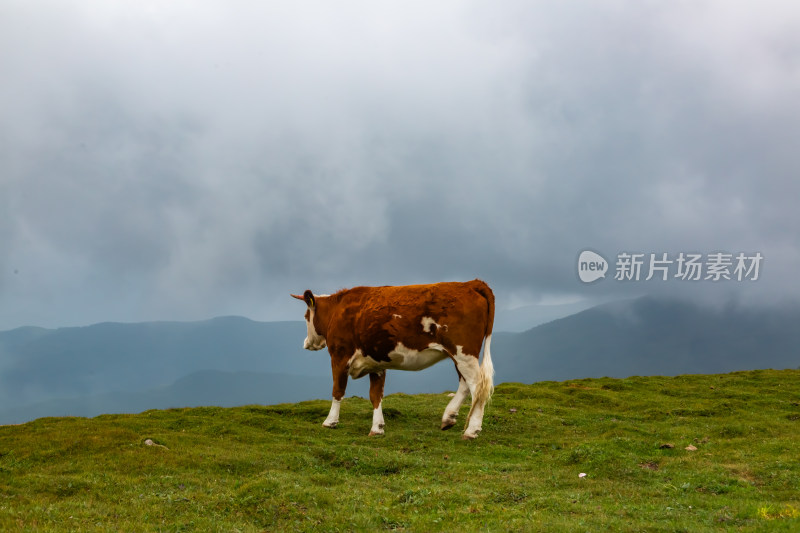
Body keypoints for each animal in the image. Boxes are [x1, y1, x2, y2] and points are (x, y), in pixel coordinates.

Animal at [294, 278, 494, 436]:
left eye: (305, 316)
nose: (305, 343)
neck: (338, 310)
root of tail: (471, 283)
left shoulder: (340, 355)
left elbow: (338, 390)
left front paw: (330, 422)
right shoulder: (376, 363)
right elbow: (376, 395)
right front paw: (377, 428)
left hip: (463, 353)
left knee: (477, 385)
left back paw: (472, 430)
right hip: (458, 355)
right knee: (465, 384)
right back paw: (449, 418)